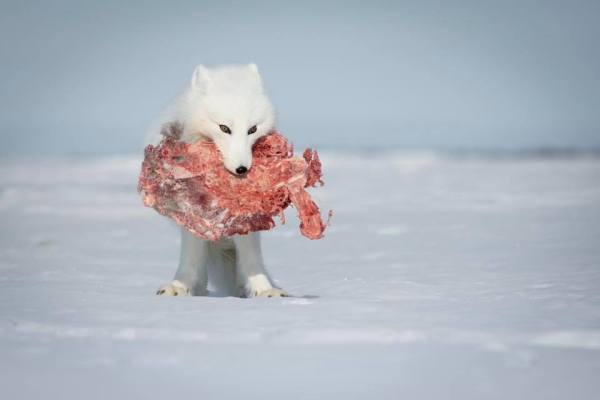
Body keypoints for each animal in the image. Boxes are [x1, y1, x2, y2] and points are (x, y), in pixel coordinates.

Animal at [152, 64, 288, 298]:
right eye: (224, 128)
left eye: (252, 129)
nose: (242, 169)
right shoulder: (191, 210)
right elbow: (190, 259)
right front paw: (180, 285)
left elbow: (252, 260)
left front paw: (263, 289)